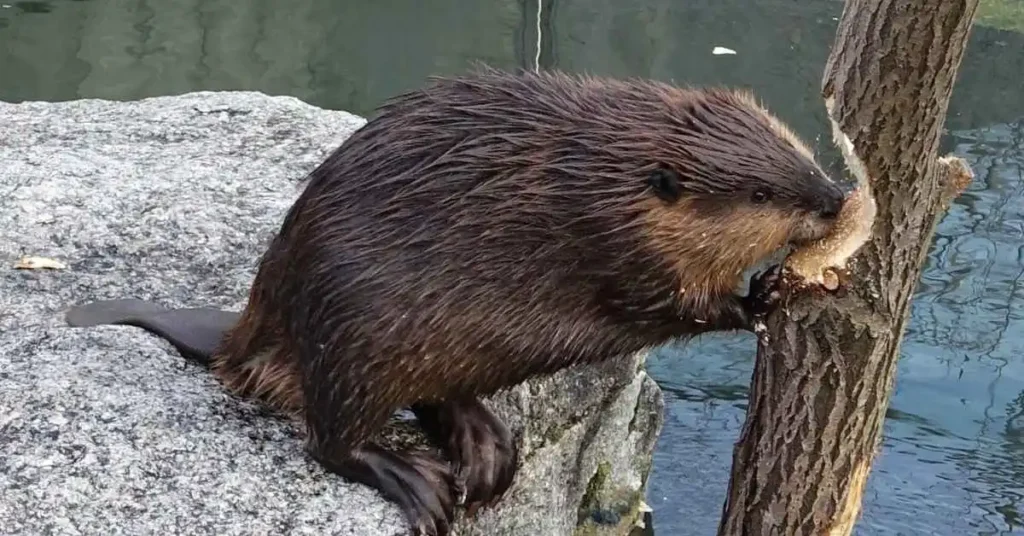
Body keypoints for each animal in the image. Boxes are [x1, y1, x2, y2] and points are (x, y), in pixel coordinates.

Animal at [66, 67, 847, 536]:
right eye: (760, 193)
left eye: (795, 149)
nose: (836, 199)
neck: (597, 174)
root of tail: (246, 335)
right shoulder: (606, 242)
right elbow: (661, 300)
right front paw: (760, 297)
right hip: (354, 340)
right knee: (330, 438)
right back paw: (418, 481)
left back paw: (486, 450)